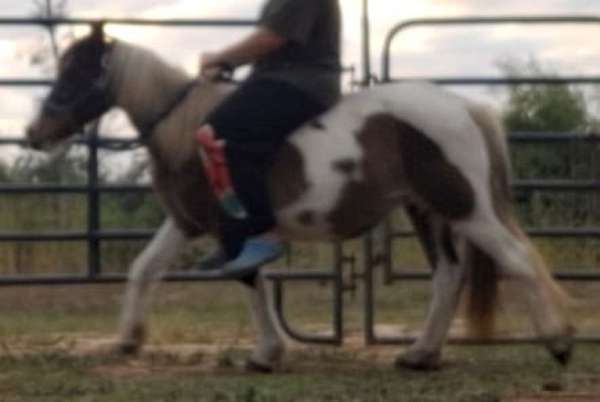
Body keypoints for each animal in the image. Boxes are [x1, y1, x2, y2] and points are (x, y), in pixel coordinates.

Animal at [25, 25, 576, 370]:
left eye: (78, 71)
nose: (35, 134)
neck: (186, 130)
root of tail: (462, 105)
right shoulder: (186, 221)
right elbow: (145, 268)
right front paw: (127, 339)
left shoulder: (229, 229)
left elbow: (250, 280)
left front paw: (266, 354)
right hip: (427, 210)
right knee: (448, 275)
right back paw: (420, 355)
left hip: (464, 206)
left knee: (518, 260)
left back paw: (559, 342)